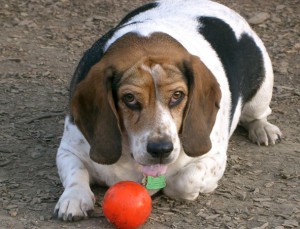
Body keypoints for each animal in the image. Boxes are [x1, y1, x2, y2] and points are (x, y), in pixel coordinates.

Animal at [54, 0, 282, 222]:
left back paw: (263, 129)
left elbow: (184, 180)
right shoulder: (69, 150)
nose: (161, 149)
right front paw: (74, 198)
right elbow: (76, 172)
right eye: (129, 98)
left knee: (258, 115)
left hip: (261, 90)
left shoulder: (214, 157)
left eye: (177, 95)